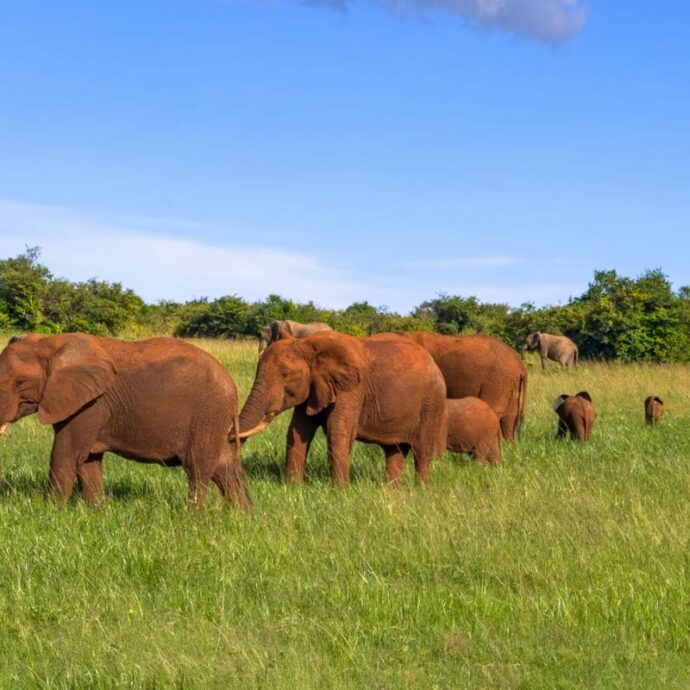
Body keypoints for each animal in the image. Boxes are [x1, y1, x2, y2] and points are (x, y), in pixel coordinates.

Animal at [0, 334, 250, 506]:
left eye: (20, 383)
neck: (50, 343)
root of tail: (232, 388)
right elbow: (88, 461)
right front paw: (95, 512)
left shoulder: (91, 404)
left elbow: (66, 455)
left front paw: (52, 513)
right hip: (212, 418)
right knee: (223, 466)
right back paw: (241, 516)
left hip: (206, 415)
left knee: (197, 468)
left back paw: (194, 518)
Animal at [231, 330, 446, 484]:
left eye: (285, 374)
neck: (308, 345)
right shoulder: (313, 387)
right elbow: (298, 430)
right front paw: (292, 487)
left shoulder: (352, 389)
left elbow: (338, 431)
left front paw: (341, 491)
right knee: (394, 452)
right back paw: (390, 490)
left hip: (432, 403)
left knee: (422, 452)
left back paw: (420, 490)